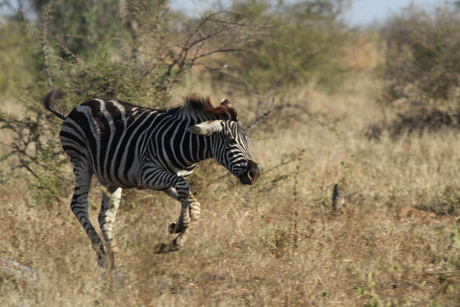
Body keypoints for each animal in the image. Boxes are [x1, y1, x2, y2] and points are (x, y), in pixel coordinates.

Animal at [44, 89, 260, 270]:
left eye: (248, 142)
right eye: (231, 141)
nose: (255, 173)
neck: (184, 147)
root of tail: (78, 107)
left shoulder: (166, 182)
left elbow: (194, 205)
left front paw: (174, 239)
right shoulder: (148, 174)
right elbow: (185, 190)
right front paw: (179, 225)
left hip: (110, 177)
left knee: (105, 216)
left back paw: (115, 262)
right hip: (80, 160)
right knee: (78, 205)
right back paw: (101, 254)